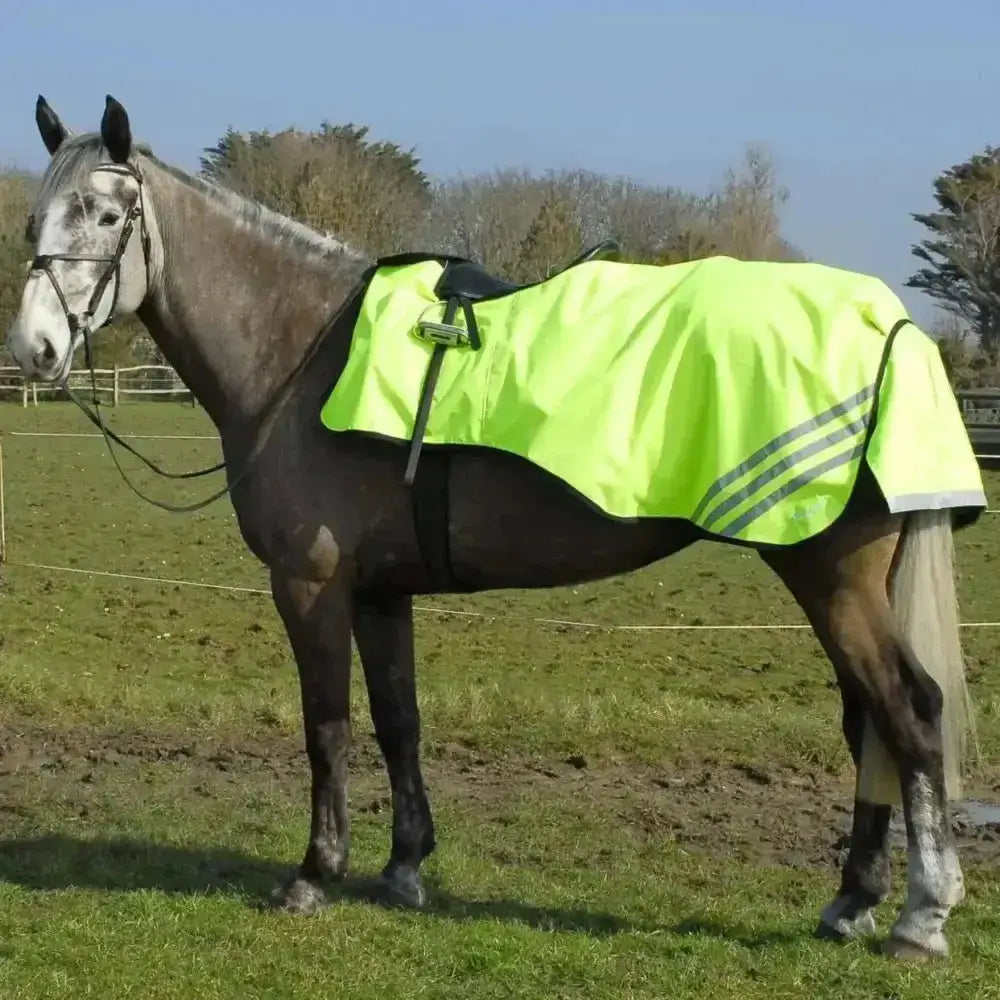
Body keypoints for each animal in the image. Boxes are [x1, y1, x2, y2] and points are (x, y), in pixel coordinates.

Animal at [3, 93, 986, 963]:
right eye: (35, 219)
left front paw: (315, 874)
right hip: (832, 577)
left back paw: (921, 914)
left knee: (909, 712)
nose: (35, 351)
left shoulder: (310, 585)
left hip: (829, 576)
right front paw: (404, 867)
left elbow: (327, 725)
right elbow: (399, 720)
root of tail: (889, 325)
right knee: (867, 725)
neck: (302, 351)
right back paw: (853, 899)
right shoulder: (380, 592)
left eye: (103, 214)